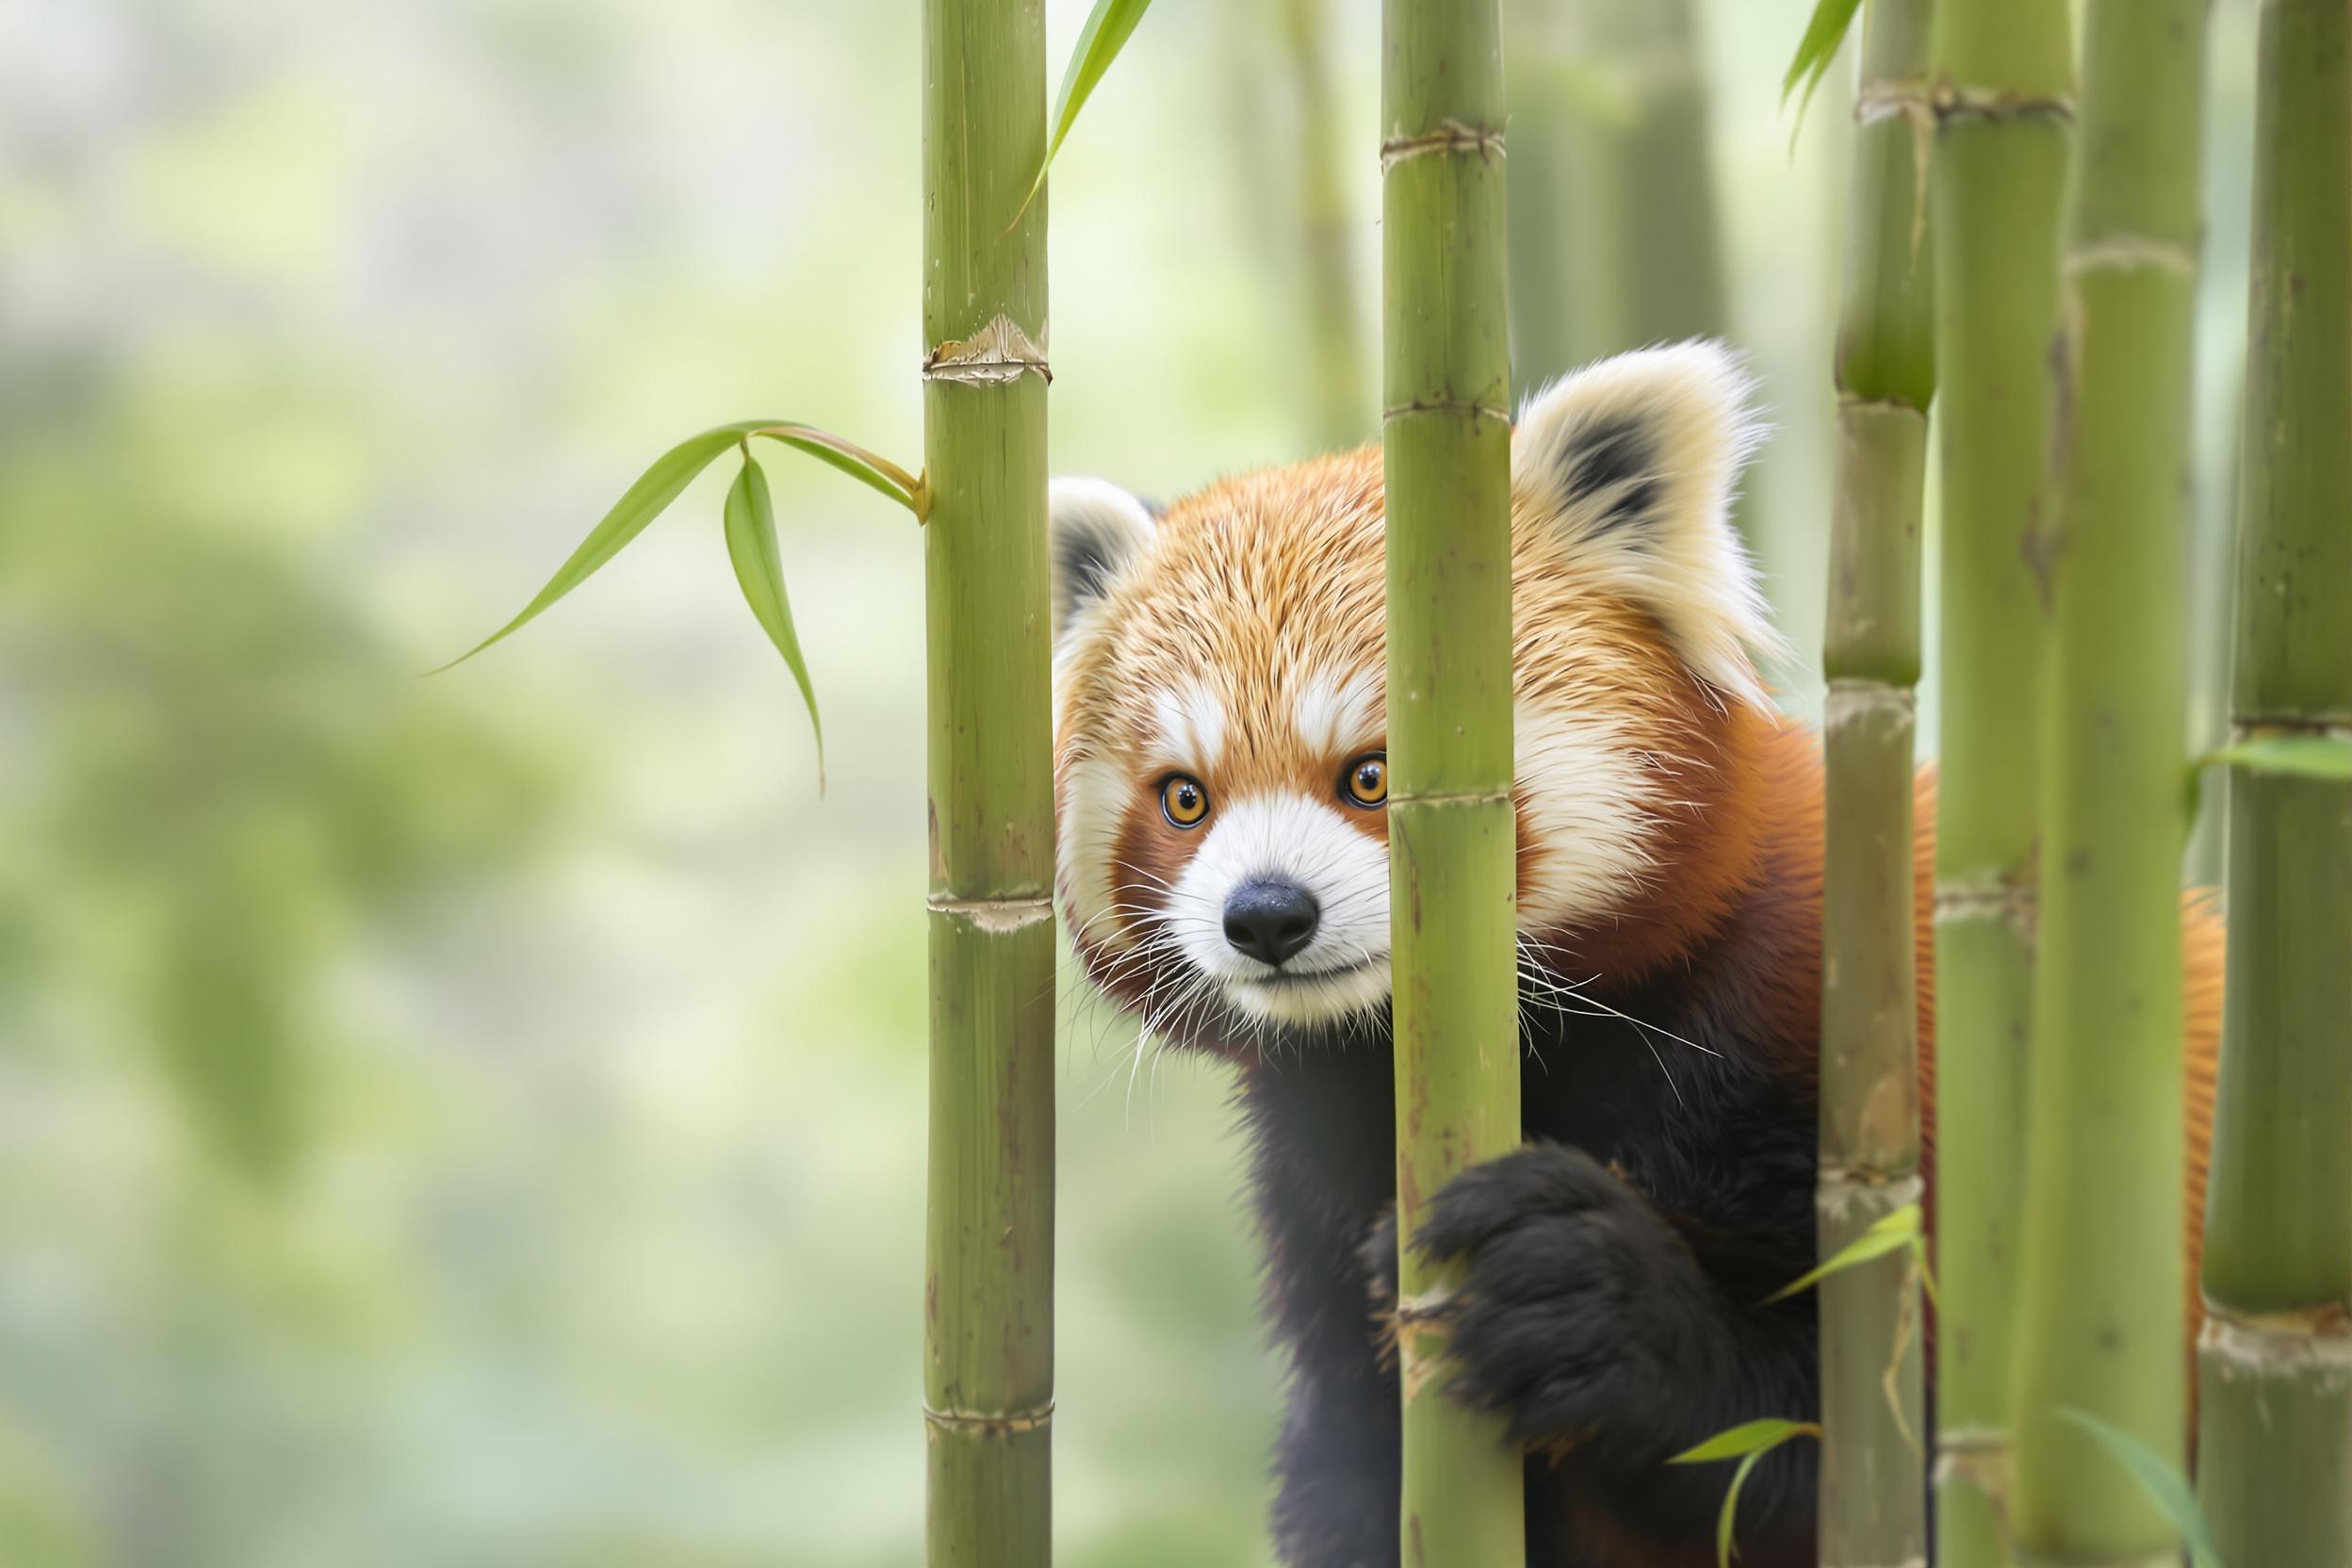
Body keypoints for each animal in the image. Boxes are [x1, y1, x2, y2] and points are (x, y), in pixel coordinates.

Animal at [1049, 345, 2220, 1568]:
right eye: (1186, 797)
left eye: (1373, 775)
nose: (1267, 914)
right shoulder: (1321, 1195)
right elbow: (1355, 1468)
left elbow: (1901, 1451)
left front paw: (1586, 1293)